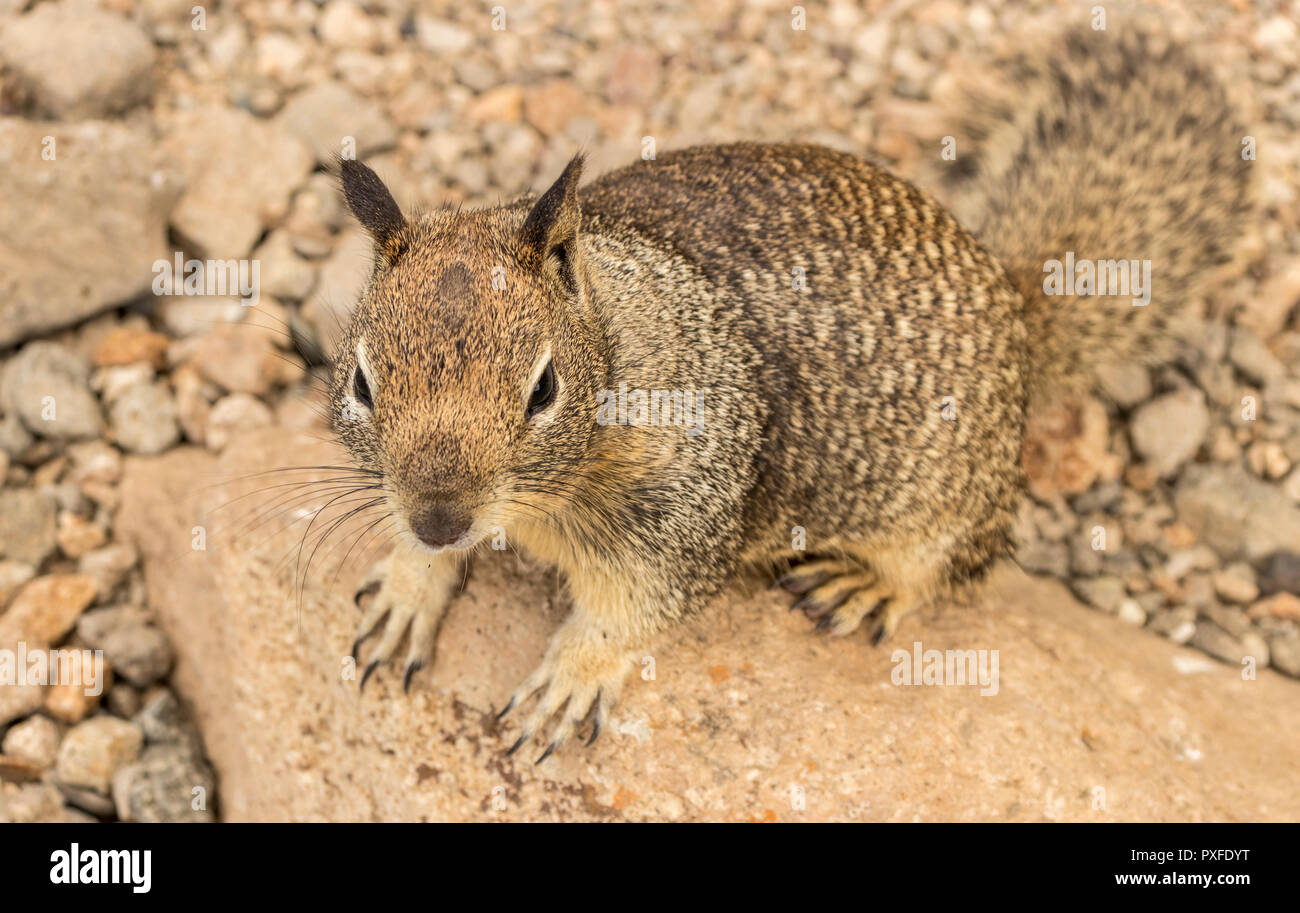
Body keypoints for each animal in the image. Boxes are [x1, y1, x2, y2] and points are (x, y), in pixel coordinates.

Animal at [328, 28, 1252, 761]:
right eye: (363, 381)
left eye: (544, 387)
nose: (439, 517)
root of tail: (1022, 312)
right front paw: (408, 586)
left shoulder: (683, 512)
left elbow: (630, 613)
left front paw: (567, 683)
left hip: (945, 504)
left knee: (953, 567)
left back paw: (864, 585)